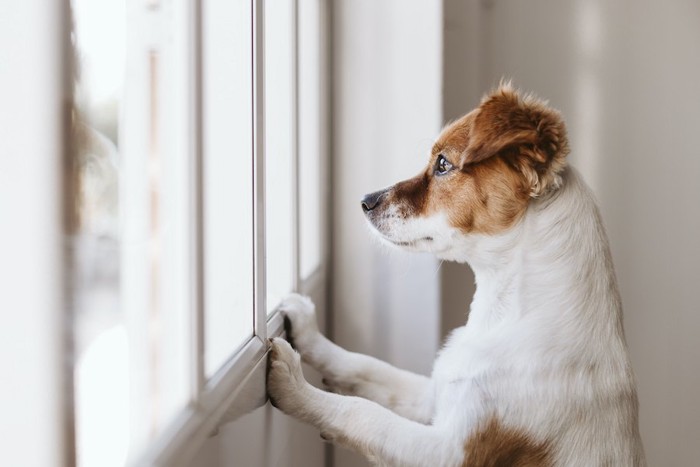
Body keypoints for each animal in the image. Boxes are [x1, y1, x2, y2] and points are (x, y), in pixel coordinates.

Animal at [266, 85, 644, 467]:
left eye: (443, 164)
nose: (365, 201)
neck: (504, 315)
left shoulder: (450, 451)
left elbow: (362, 413)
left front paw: (294, 385)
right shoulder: (434, 395)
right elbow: (364, 367)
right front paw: (308, 332)